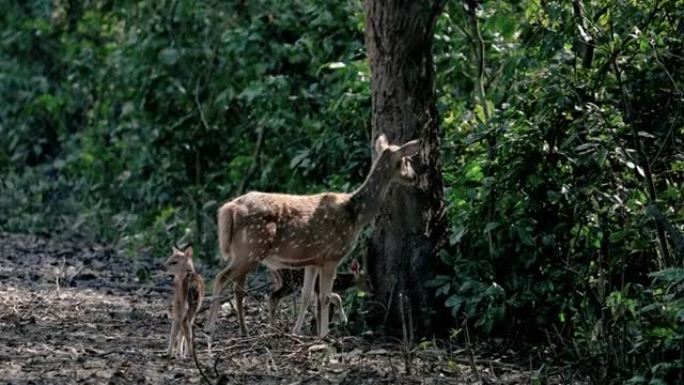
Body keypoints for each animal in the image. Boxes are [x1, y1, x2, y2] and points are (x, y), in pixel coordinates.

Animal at [206, 134, 420, 336]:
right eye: (407, 160)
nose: (414, 176)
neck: (356, 215)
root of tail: (228, 209)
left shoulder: (313, 260)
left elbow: (306, 296)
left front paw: (296, 332)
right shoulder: (332, 256)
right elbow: (325, 297)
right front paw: (324, 335)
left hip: (245, 251)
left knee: (236, 286)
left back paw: (240, 331)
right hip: (251, 247)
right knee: (221, 278)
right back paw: (210, 330)